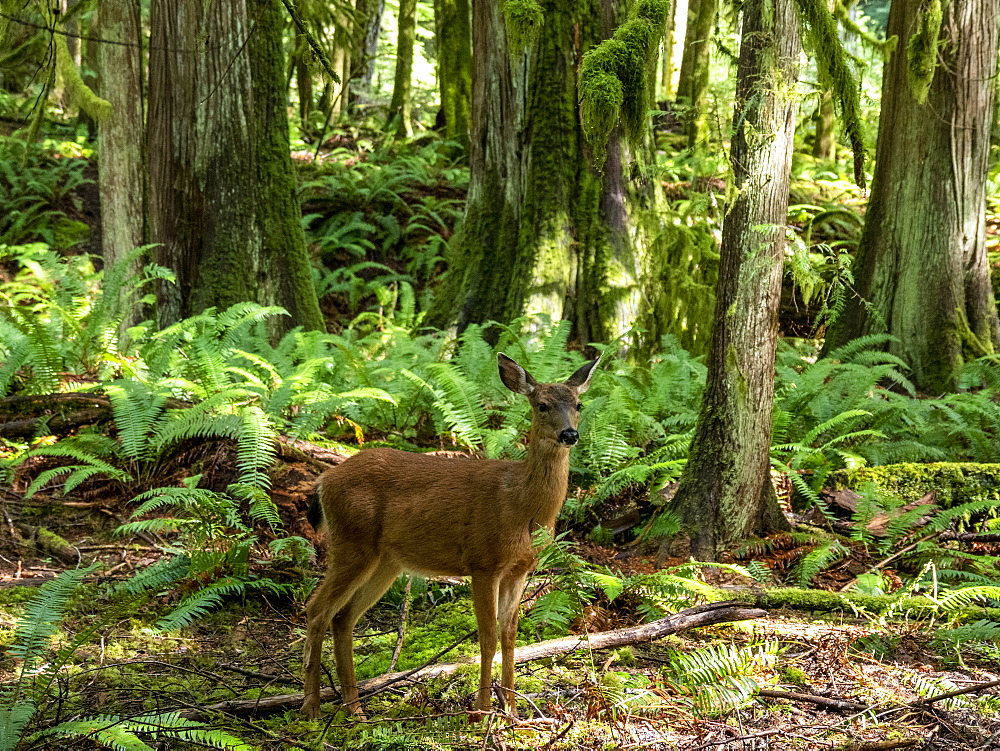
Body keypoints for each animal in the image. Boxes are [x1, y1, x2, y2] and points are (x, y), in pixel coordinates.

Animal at [300, 352, 600, 716]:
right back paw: (311, 708)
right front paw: (482, 710)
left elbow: (509, 635)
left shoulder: (519, 570)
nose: (570, 434)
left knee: (343, 618)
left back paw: (354, 708)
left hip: (386, 560)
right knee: (316, 610)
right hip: (352, 543)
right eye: (542, 405)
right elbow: (487, 637)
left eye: (579, 404)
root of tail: (323, 480)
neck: (522, 507)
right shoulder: (483, 561)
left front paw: (512, 711)